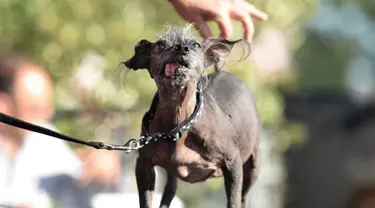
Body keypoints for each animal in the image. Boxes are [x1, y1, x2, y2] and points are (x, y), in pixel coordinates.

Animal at [125, 24, 262, 208]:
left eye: (195, 45)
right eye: (160, 44)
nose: (182, 48)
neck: (179, 124)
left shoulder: (233, 163)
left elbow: (233, 201)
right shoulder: (143, 165)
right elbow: (146, 202)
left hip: (253, 166)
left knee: (243, 197)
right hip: (171, 174)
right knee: (169, 192)